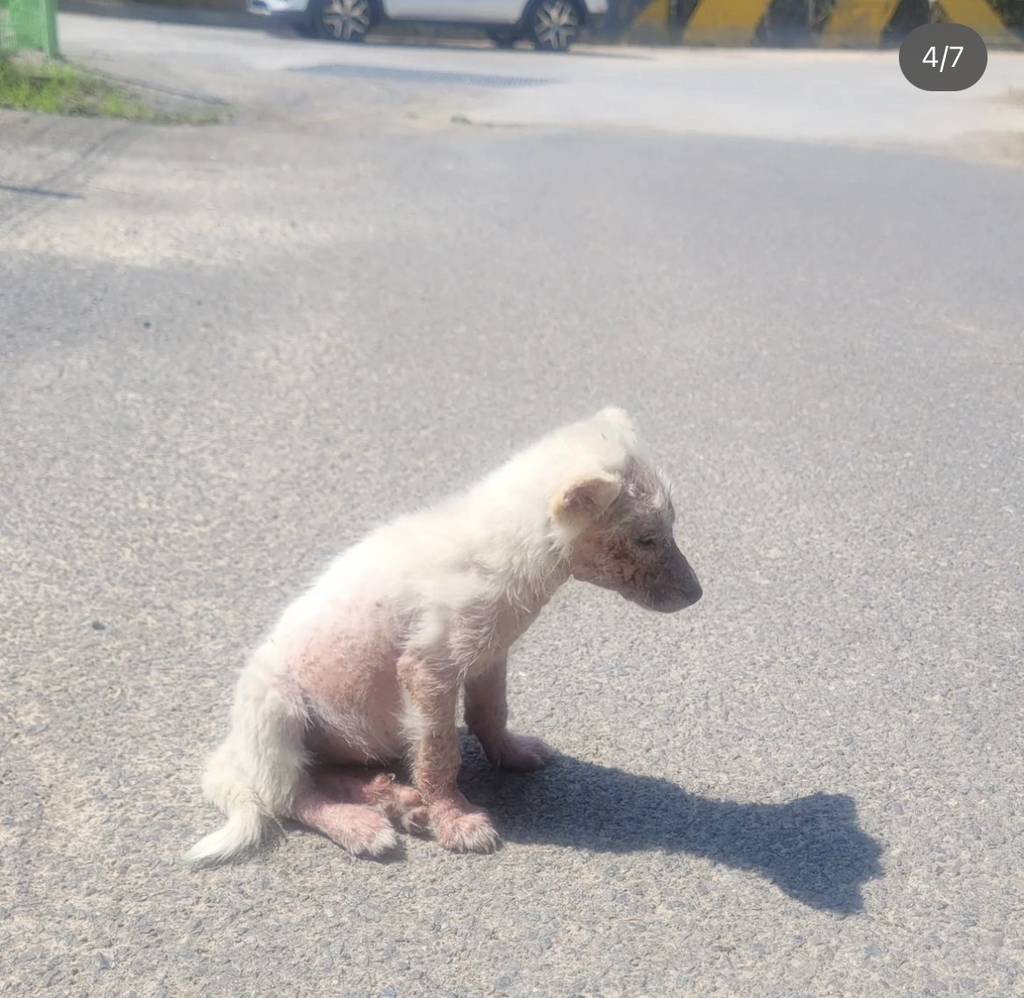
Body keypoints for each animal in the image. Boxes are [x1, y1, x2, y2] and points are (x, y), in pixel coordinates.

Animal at [186, 409, 696, 863]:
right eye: (646, 538)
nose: (698, 595)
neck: (509, 547)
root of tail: (233, 750)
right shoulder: (428, 669)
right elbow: (439, 752)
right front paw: (455, 819)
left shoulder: (490, 653)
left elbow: (490, 713)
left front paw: (511, 754)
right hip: (275, 712)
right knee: (290, 796)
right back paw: (360, 824)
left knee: (325, 773)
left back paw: (392, 798)